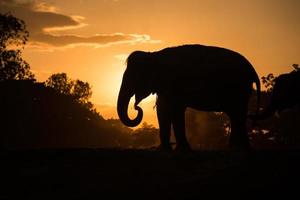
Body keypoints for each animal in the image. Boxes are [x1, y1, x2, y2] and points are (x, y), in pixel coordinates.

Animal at [117, 43, 260, 150]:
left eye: (134, 77)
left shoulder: (175, 84)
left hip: (239, 89)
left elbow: (175, 110)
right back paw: (236, 148)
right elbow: (163, 110)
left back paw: (239, 149)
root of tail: (252, 70)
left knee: (237, 114)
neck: (154, 55)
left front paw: (182, 150)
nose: (136, 107)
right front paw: (164, 150)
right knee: (235, 115)